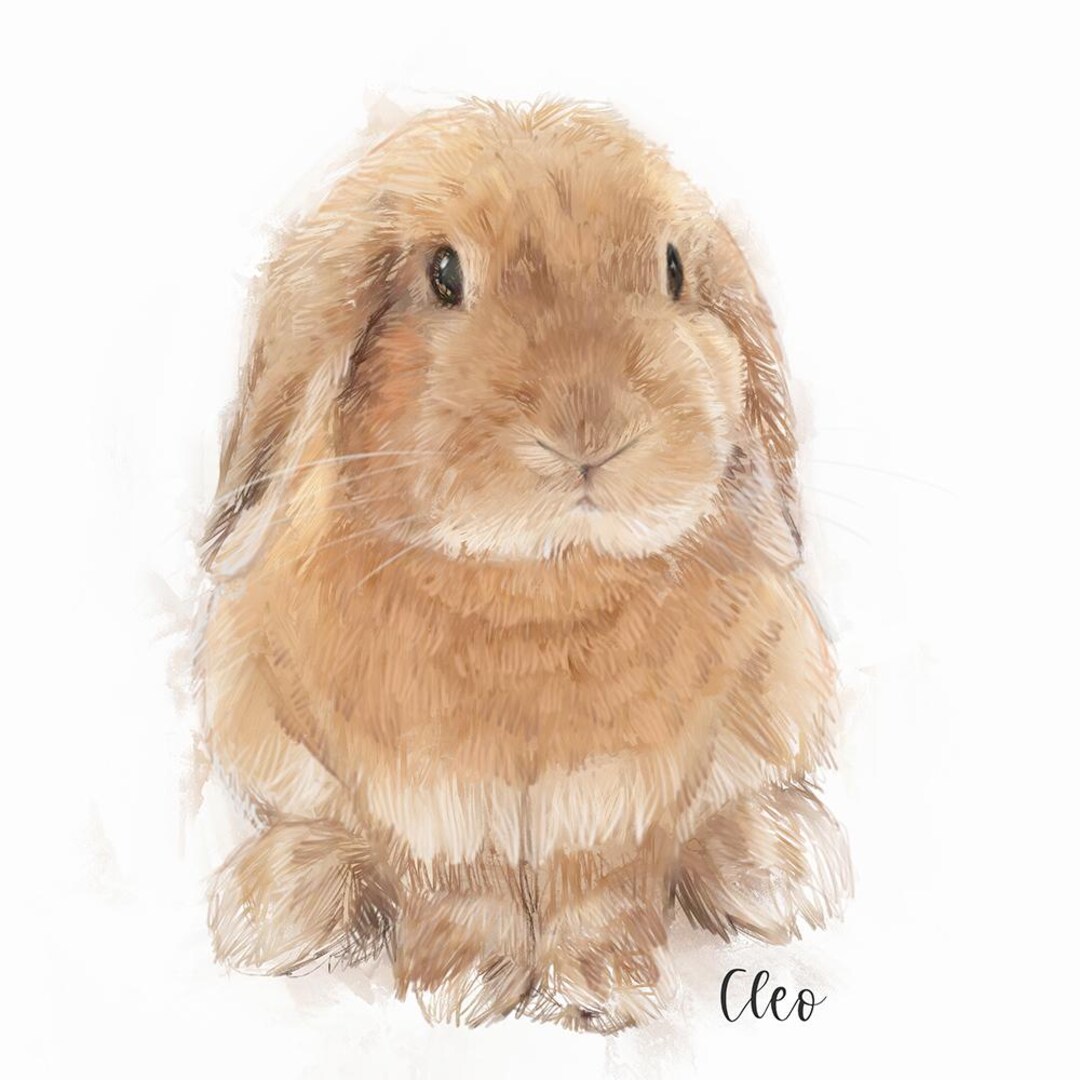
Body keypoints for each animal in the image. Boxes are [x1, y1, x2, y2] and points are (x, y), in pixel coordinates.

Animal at [196, 99, 852, 1034]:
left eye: (674, 269)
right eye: (443, 273)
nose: (592, 433)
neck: (540, 585)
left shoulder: (620, 795)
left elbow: (601, 885)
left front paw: (607, 987)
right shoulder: (428, 798)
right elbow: (457, 884)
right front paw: (459, 985)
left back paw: (780, 868)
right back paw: (277, 902)